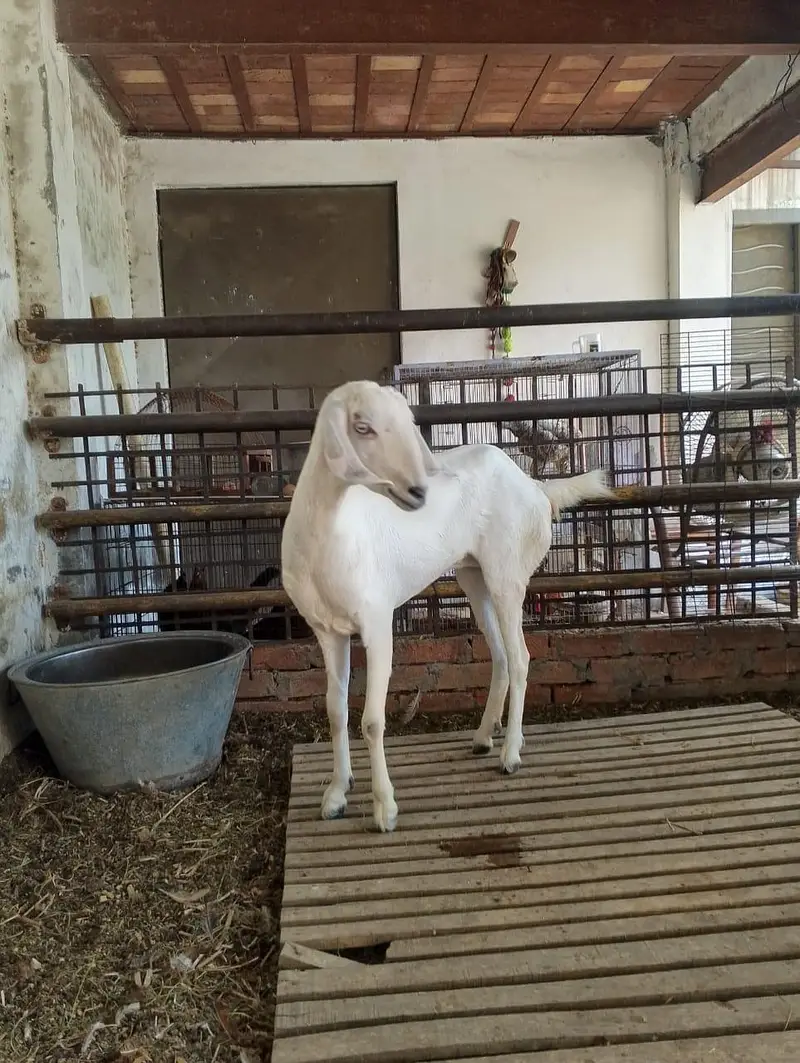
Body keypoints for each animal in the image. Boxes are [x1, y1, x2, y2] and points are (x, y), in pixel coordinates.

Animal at [281, 380, 616, 833]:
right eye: (362, 427)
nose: (418, 491)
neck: (333, 534)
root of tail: (535, 487)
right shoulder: (327, 631)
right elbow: (335, 711)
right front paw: (335, 795)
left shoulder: (378, 623)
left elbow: (371, 721)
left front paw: (385, 809)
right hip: (474, 578)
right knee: (501, 656)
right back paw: (483, 737)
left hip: (507, 575)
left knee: (521, 657)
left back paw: (511, 754)